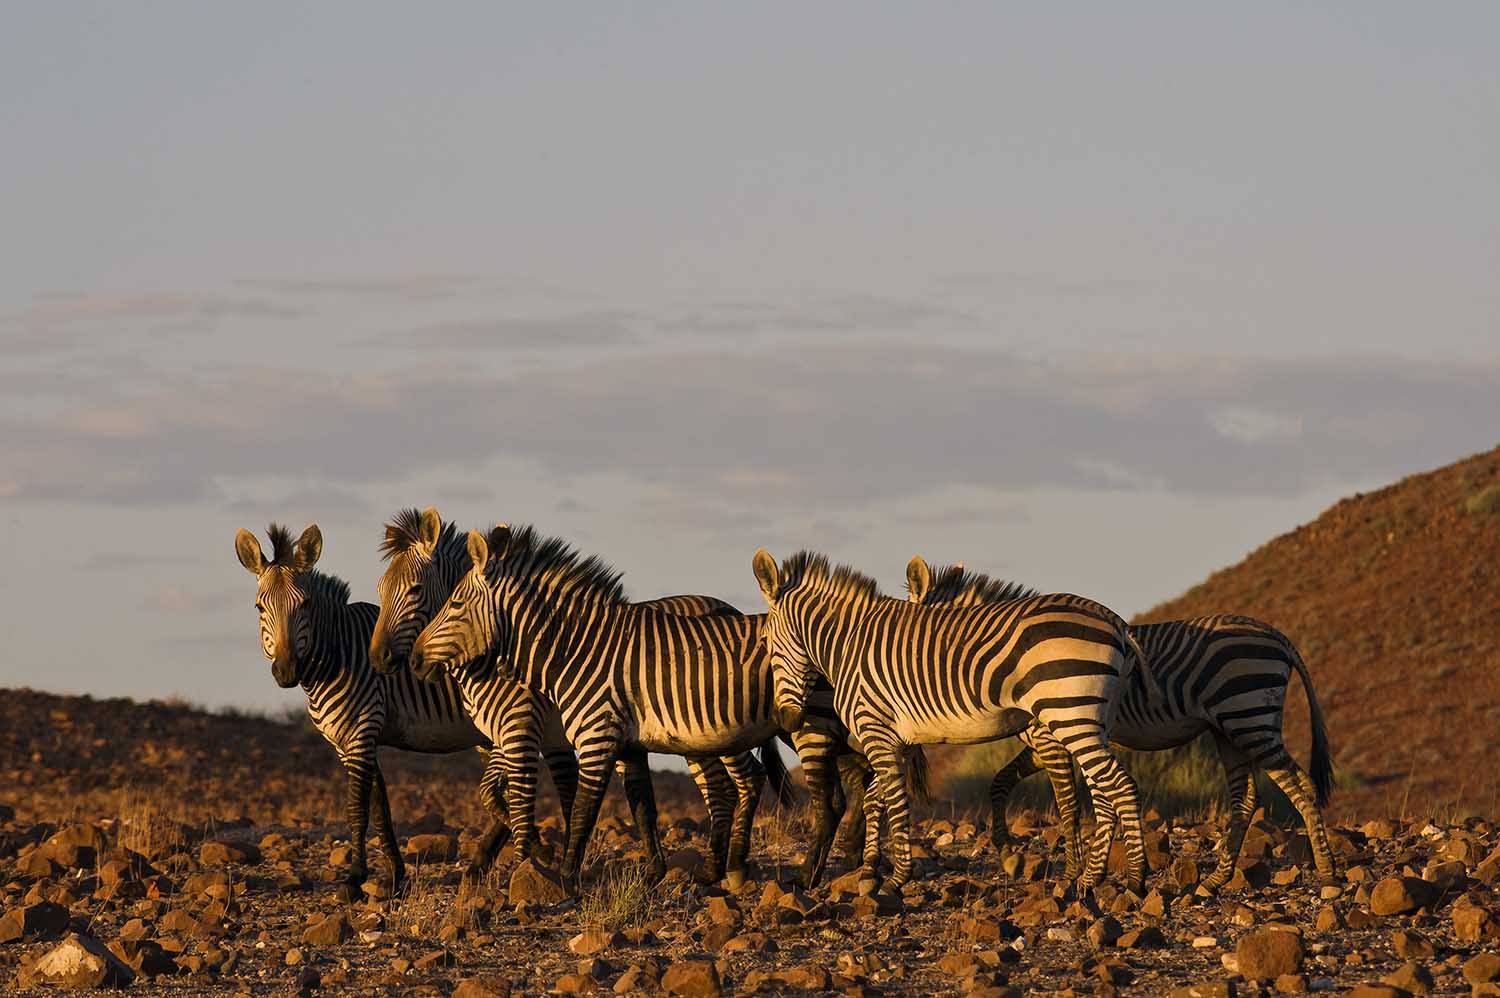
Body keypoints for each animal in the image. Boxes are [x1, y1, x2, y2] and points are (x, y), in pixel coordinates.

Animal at [234, 523, 496, 902]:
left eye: (305, 604)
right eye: (259, 608)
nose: (285, 671)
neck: (338, 653)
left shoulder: (361, 732)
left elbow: (357, 810)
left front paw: (354, 879)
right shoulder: (347, 742)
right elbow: (379, 807)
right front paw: (394, 877)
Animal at [409, 522, 865, 892]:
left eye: (454, 605)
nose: (413, 659)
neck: (577, 650)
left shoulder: (592, 736)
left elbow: (582, 810)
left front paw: (562, 876)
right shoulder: (627, 744)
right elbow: (642, 806)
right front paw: (652, 873)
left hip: (806, 724)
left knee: (826, 802)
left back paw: (805, 876)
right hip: (819, 725)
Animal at [752, 548, 1152, 895]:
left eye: (766, 642)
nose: (788, 718)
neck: (847, 644)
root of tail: (1117, 623)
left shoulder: (876, 729)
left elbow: (894, 800)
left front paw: (896, 879)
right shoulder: (895, 738)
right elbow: (875, 798)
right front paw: (868, 872)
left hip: (1070, 717)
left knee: (1121, 787)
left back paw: (1133, 880)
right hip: (1088, 721)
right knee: (1105, 794)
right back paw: (1091, 879)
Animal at [907, 556, 1337, 891]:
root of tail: (1275, 634)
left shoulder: (1051, 738)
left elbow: (1068, 804)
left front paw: (1074, 872)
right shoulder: (1045, 742)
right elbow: (1001, 782)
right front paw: (1009, 851)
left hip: (1249, 718)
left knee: (1301, 785)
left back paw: (1328, 873)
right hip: (1229, 729)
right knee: (1246, 798)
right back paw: (1215, 881)